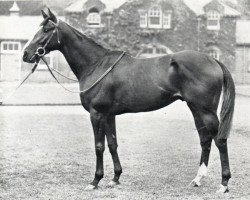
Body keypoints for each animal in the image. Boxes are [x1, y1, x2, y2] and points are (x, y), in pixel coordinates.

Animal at [22, 8, 235, 193]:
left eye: (47, 29)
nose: (26, 54)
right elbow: (112, 144)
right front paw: (115, 178)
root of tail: (213, 60)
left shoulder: (97, 114)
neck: (96, 64)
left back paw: (224, 184)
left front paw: (95, 181)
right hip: (195, 108)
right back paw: (198, 179)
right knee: (205, 140)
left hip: (206, 111)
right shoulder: (109, 115)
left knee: (219, 140)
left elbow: (99, 146)